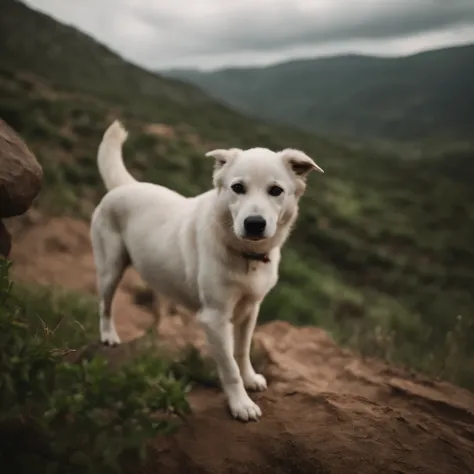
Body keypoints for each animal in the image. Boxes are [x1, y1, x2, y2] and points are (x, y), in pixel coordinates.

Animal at [90, 120, 324, 420]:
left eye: (276, 190)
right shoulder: (214, 319)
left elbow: (242, 352)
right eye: (238, 187)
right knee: (104, 304)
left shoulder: (250, 310)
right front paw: (241, 404)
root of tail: (125, 186)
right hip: (111, 268)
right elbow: (229, 368)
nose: (254, 223)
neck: (245, 255)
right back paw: (109, 336)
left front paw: (251, 379)